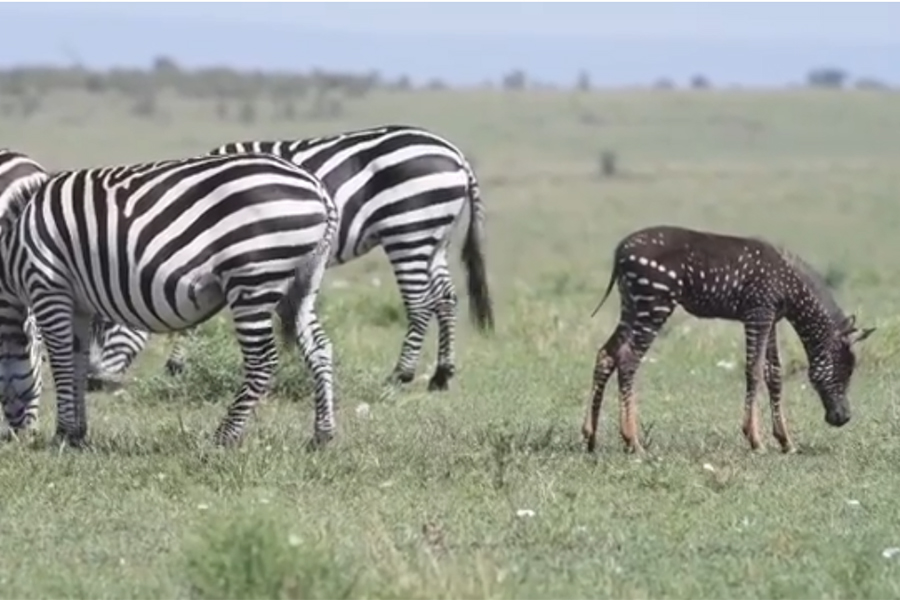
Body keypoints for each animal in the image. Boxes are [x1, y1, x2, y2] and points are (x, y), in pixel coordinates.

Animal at [0, 150, 342, 450]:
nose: (18, 437)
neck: (11, 247)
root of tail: (317, 187)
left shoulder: (48, 286)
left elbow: (60, 363)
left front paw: (62, 435)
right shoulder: (78, 304)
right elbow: (78, 362)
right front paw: (77, 435)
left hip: (253, 277)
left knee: (262, 360)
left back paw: (223, 437)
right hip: (300, 282)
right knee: (319, 347)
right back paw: (322, 435)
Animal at [89, 124, 492, 392]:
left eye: (107, 324)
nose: (93, 382)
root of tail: (456, 155)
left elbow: (194, 320)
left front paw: (175, 366)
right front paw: (294, 358)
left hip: (409, 230)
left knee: (421, 304)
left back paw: (400, 375)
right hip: (434, 238)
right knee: (446, 299)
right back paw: (441, 375)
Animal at [584, 225, 872, 454]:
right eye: (846, 370)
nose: (843, 417)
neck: (790, 284)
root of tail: (620, 250)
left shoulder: (770, 318)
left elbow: (774, 375)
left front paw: (785, 441)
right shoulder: (757, 313)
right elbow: (754, 371)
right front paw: (755, 440)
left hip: (631, 304)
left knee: (606, 354)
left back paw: (590, 436)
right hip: (654, 304)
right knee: (627, 358)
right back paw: (632, 441)